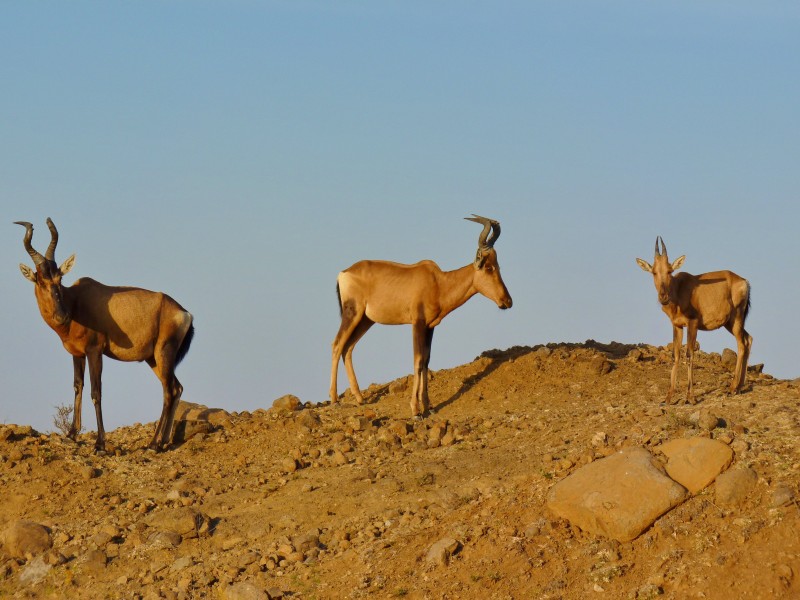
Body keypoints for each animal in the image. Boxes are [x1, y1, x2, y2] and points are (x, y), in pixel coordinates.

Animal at [15, 218, 194, 452]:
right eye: (41, 281)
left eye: (59, 278)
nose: (62, 316)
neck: (76, 300)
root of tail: (184, 312)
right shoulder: (77, 354)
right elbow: (78, 386)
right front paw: (72, 433)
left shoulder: (95, 351)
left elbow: (96, 391)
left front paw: (100, 443)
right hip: (152, 358)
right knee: (177, 388)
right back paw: (163, 441)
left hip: (164, 353)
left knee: (168, 391)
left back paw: (154, 444)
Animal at [330, 214, 512, 418]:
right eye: (488, 267)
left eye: (498, 266)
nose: (507, 301)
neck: (438, 282)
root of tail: (344, 273)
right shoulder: (417, 323)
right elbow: (417, 361)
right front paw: (416, 410)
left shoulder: (430, 327)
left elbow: (426, 361)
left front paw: (428, 406)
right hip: (352, 313)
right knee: (337, 345)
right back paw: (335, 400)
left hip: (365, 320)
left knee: (348, 348)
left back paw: (360, 398)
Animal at [636, 237, 752, 406]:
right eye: (654, 272)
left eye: (670, 270)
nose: (663, 297)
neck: (679, 289)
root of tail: (744, 282)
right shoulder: (677, 326)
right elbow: (676, 355)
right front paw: (668, 398)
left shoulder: (693, 324)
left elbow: (689, 354)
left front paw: (690, 397)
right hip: (729, 323)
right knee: (749, 339)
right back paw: (740, 386)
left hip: (736, 318)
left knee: (741, 344)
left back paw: (732, 388)